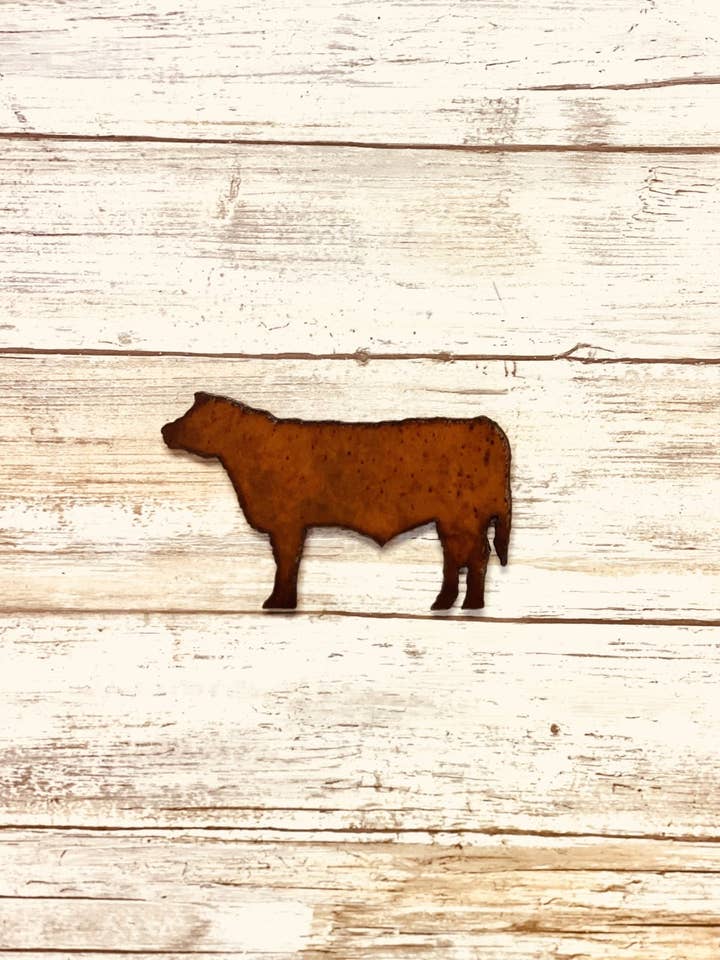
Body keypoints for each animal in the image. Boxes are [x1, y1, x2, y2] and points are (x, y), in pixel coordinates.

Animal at [161, 392, 512, 611]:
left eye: (191, 415)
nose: (165, 429)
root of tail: (483, 423)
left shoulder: (288, 525)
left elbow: (286, 563)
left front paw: (279, 602)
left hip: (464, 518)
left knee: (477, 556)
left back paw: (471, 605)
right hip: (451, 521)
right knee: (456, 558)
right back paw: (443, 603)